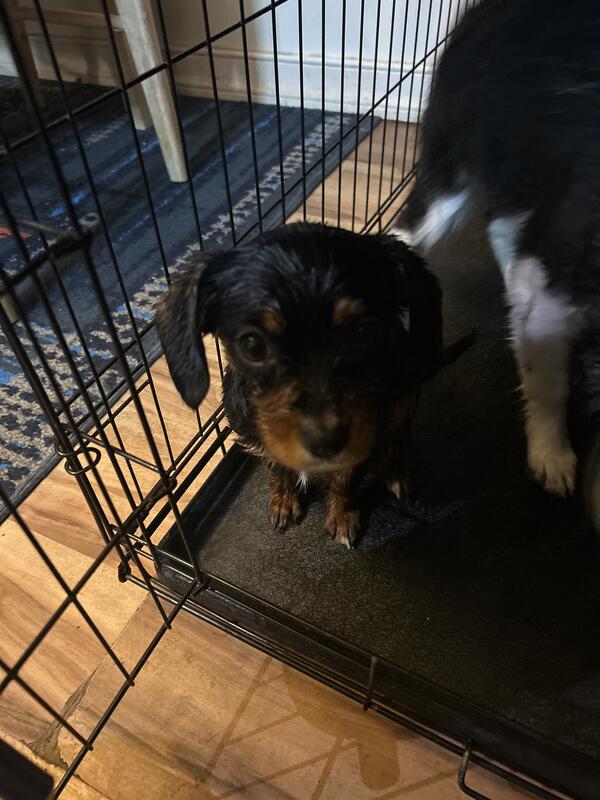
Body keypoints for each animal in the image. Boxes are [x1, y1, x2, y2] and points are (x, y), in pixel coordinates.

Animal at [155, 222, 444, 548]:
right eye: (252, 345)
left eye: (362, 332)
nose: (325, 442)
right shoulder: (259, 436)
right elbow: (276, 467)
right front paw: (283, 501)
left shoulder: (363, 435)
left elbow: (346, 478)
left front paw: (342, 516)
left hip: (405, 391)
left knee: (398, 434)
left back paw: (396, 472)